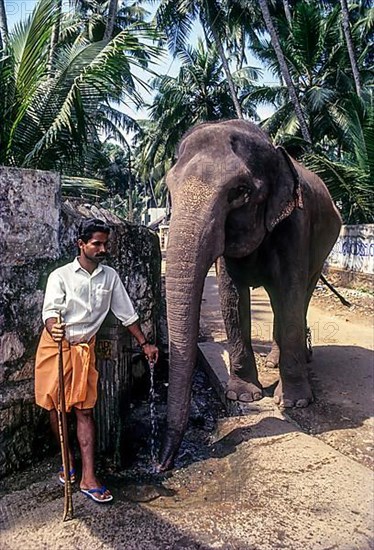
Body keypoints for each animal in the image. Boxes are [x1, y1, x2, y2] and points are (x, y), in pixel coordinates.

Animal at [158, 121, 342, 474]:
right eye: (170, 188)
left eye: (239, 192)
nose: (161, 465)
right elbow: (231, 297)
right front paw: (243, 397)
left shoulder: (295, 224)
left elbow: (289, 292)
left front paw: (295, 402)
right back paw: (273, 361)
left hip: (324, 247)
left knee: (300, 297)